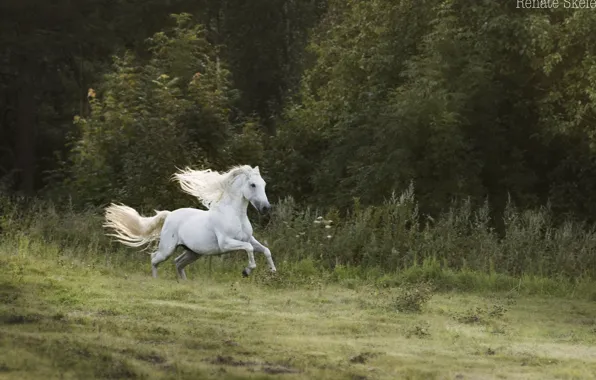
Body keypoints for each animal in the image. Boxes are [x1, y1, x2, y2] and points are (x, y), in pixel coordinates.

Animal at [102, 166, 278, 280]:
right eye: (253, 185)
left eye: (264, 184)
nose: (266, 208)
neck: (234, 215)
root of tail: (169, 214)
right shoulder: (226, 243)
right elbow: (249, 249)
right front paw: (246, 271)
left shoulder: (249, 239)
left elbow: (266, 250)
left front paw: (272, 271)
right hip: (168, 248)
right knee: (154, 258)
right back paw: (156, 280)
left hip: (193, 252)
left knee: (178, 263)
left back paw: (184, 283)